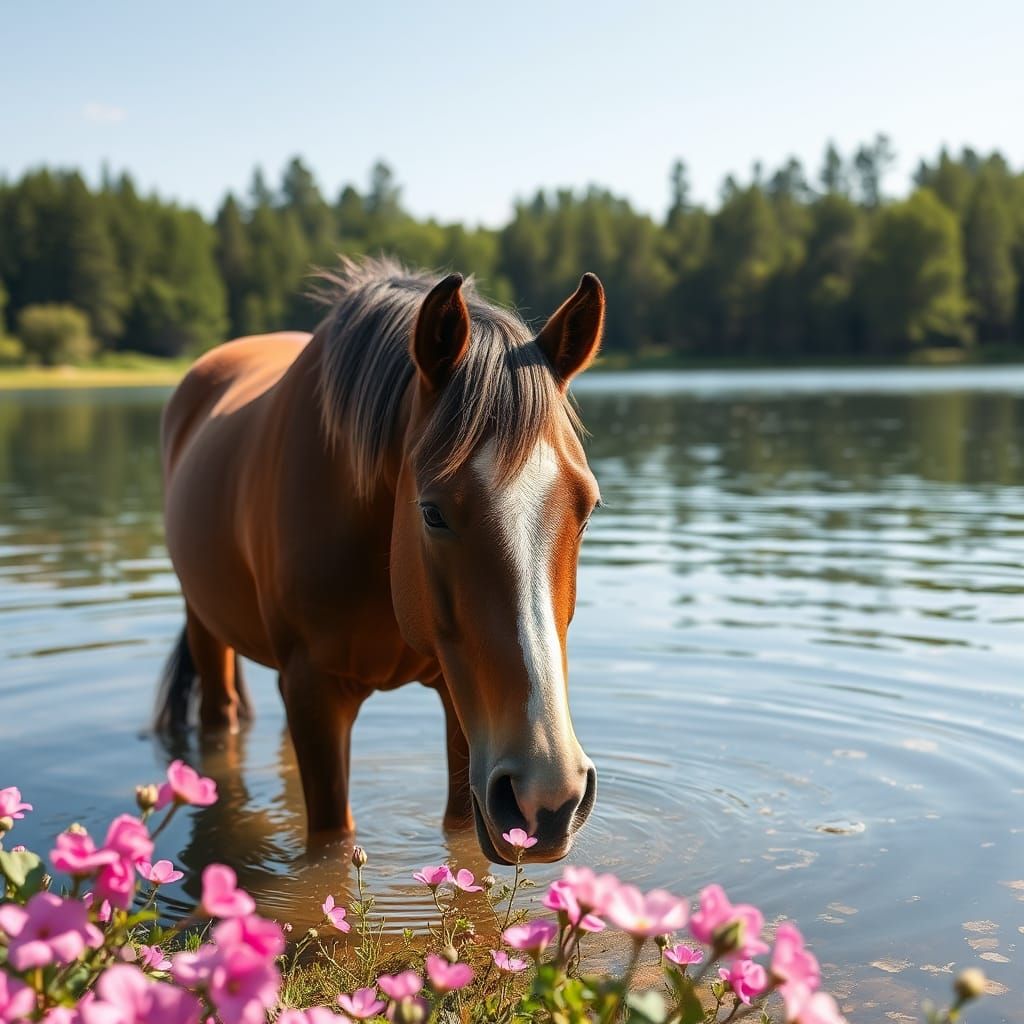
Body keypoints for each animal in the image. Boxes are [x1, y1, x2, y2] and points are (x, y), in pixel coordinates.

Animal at [156, 257, 605, 864]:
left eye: (587, 508)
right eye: (432, 513)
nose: (548, 796)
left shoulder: (460, 703)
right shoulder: (315, 691)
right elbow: (332, 842)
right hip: (206, 626)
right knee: (218, 717)